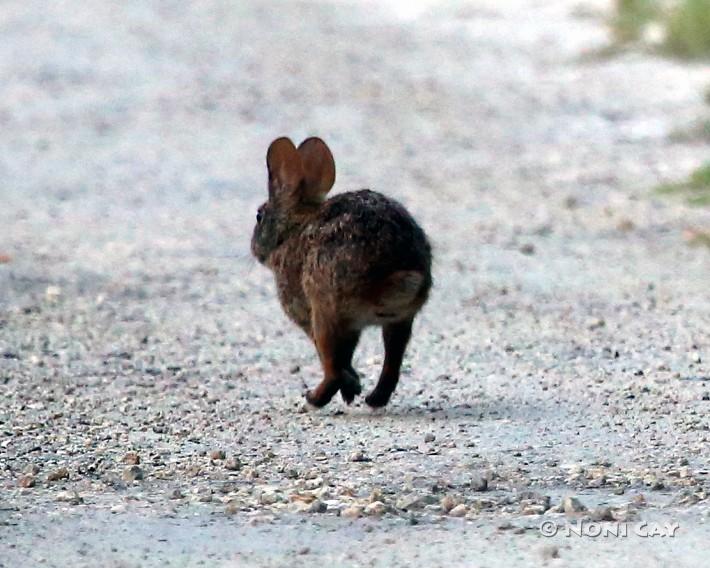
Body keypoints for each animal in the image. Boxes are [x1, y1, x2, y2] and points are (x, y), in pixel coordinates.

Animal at [251, 136, 432, 408]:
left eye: (259, 216)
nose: (253, 248)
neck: (292, 228)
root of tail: (393, 275)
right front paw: (353, 388)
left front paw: (349, 388)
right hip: (399, 320)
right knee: (392, 362)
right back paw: (373, 398)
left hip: (325, 311)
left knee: (331, 366)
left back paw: (315, 398)